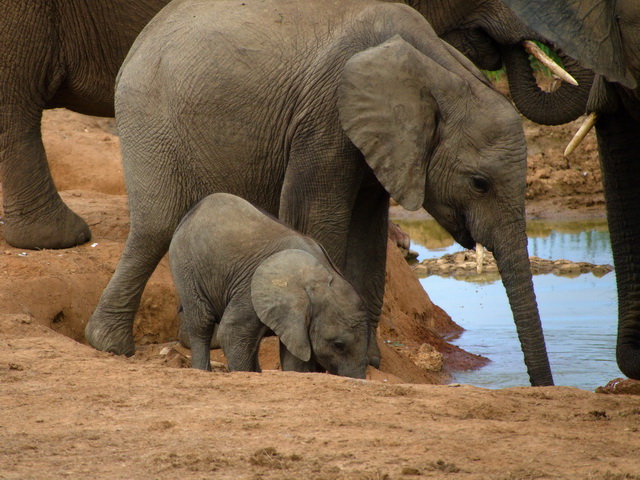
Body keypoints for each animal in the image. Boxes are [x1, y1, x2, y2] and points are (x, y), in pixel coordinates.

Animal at [169, 192, 370, 378]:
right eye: (338, 345)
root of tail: (193, 211)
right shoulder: (250, 289)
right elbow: (231, 333)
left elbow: (294, 355)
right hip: (185, 264)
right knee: (202, 323)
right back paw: (202, 370)